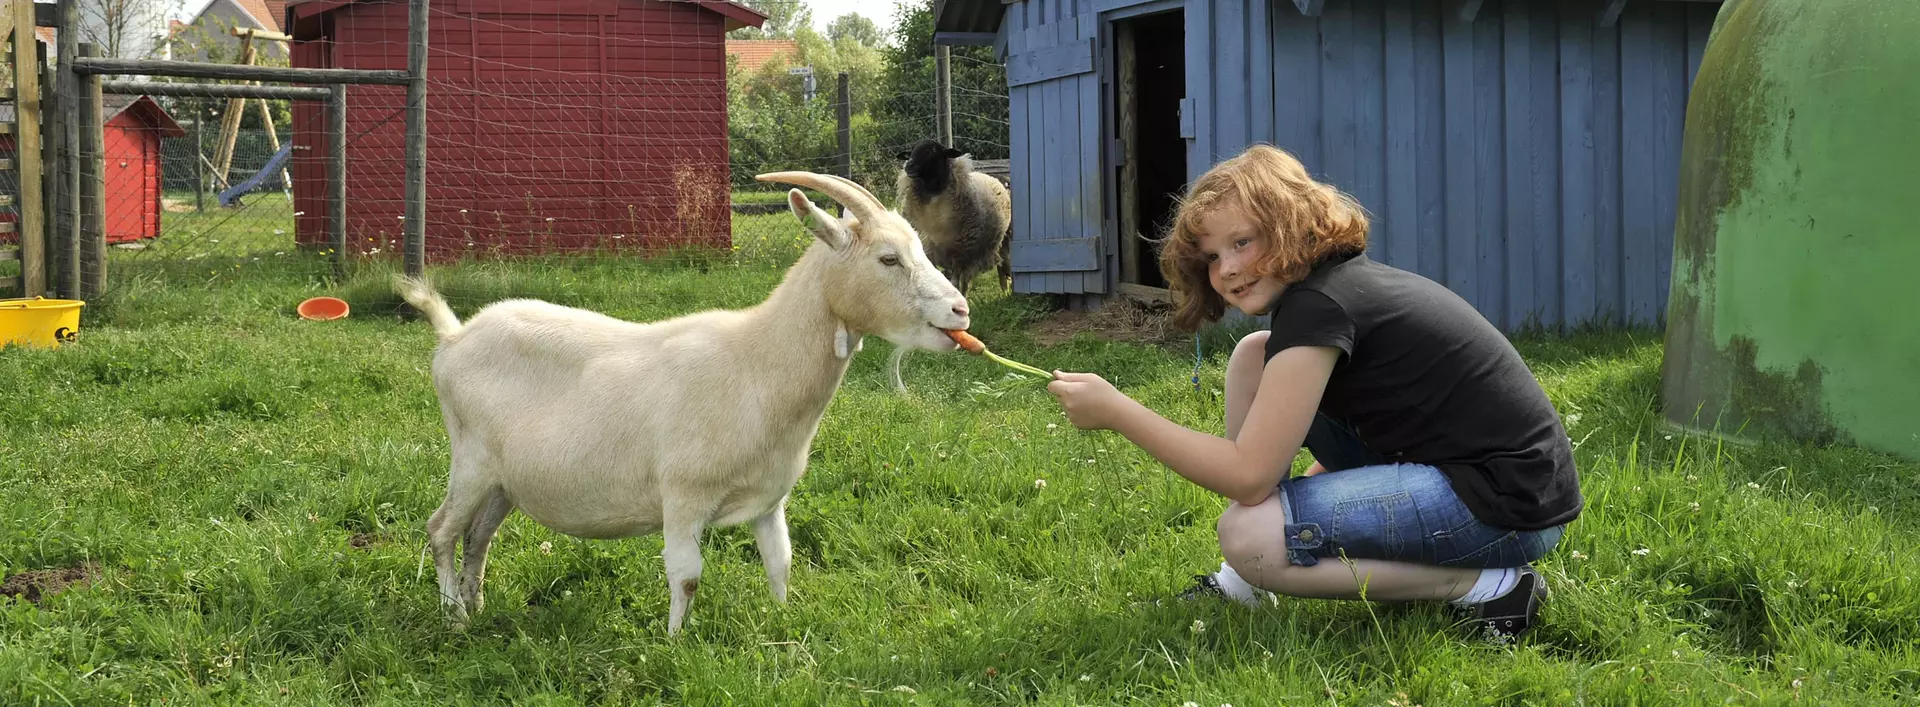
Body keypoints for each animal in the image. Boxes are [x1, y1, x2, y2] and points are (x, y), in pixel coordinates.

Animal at [401, 172, 975, 633]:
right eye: (888, 258)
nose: (960, 311)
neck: (755, 361)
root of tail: (454, 336)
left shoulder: (770, 499)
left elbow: (780, 563)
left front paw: (784, 622)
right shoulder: (682, 495)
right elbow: (687, 576)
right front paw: (676, 643)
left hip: (504, 481)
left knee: (478, 537)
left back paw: (475, 606)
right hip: (471, 460)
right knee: (441, 530)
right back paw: (454, 617)